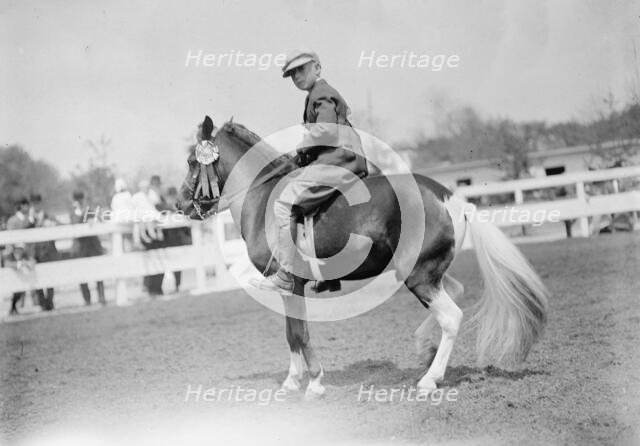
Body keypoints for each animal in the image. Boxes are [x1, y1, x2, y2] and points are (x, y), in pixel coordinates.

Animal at [178, 116, 549, 399]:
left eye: (192, 162)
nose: (180, 204)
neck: (264, 198)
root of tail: (448, 195)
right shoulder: (288, 289)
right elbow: (290, 333)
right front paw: (292, 381)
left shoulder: (291, 284)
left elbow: (299, 334)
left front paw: (314, 382)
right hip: (428, 272)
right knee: (454, 296)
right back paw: (424, 349)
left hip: (418, 277)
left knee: (452, 317)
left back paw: (430, 379)